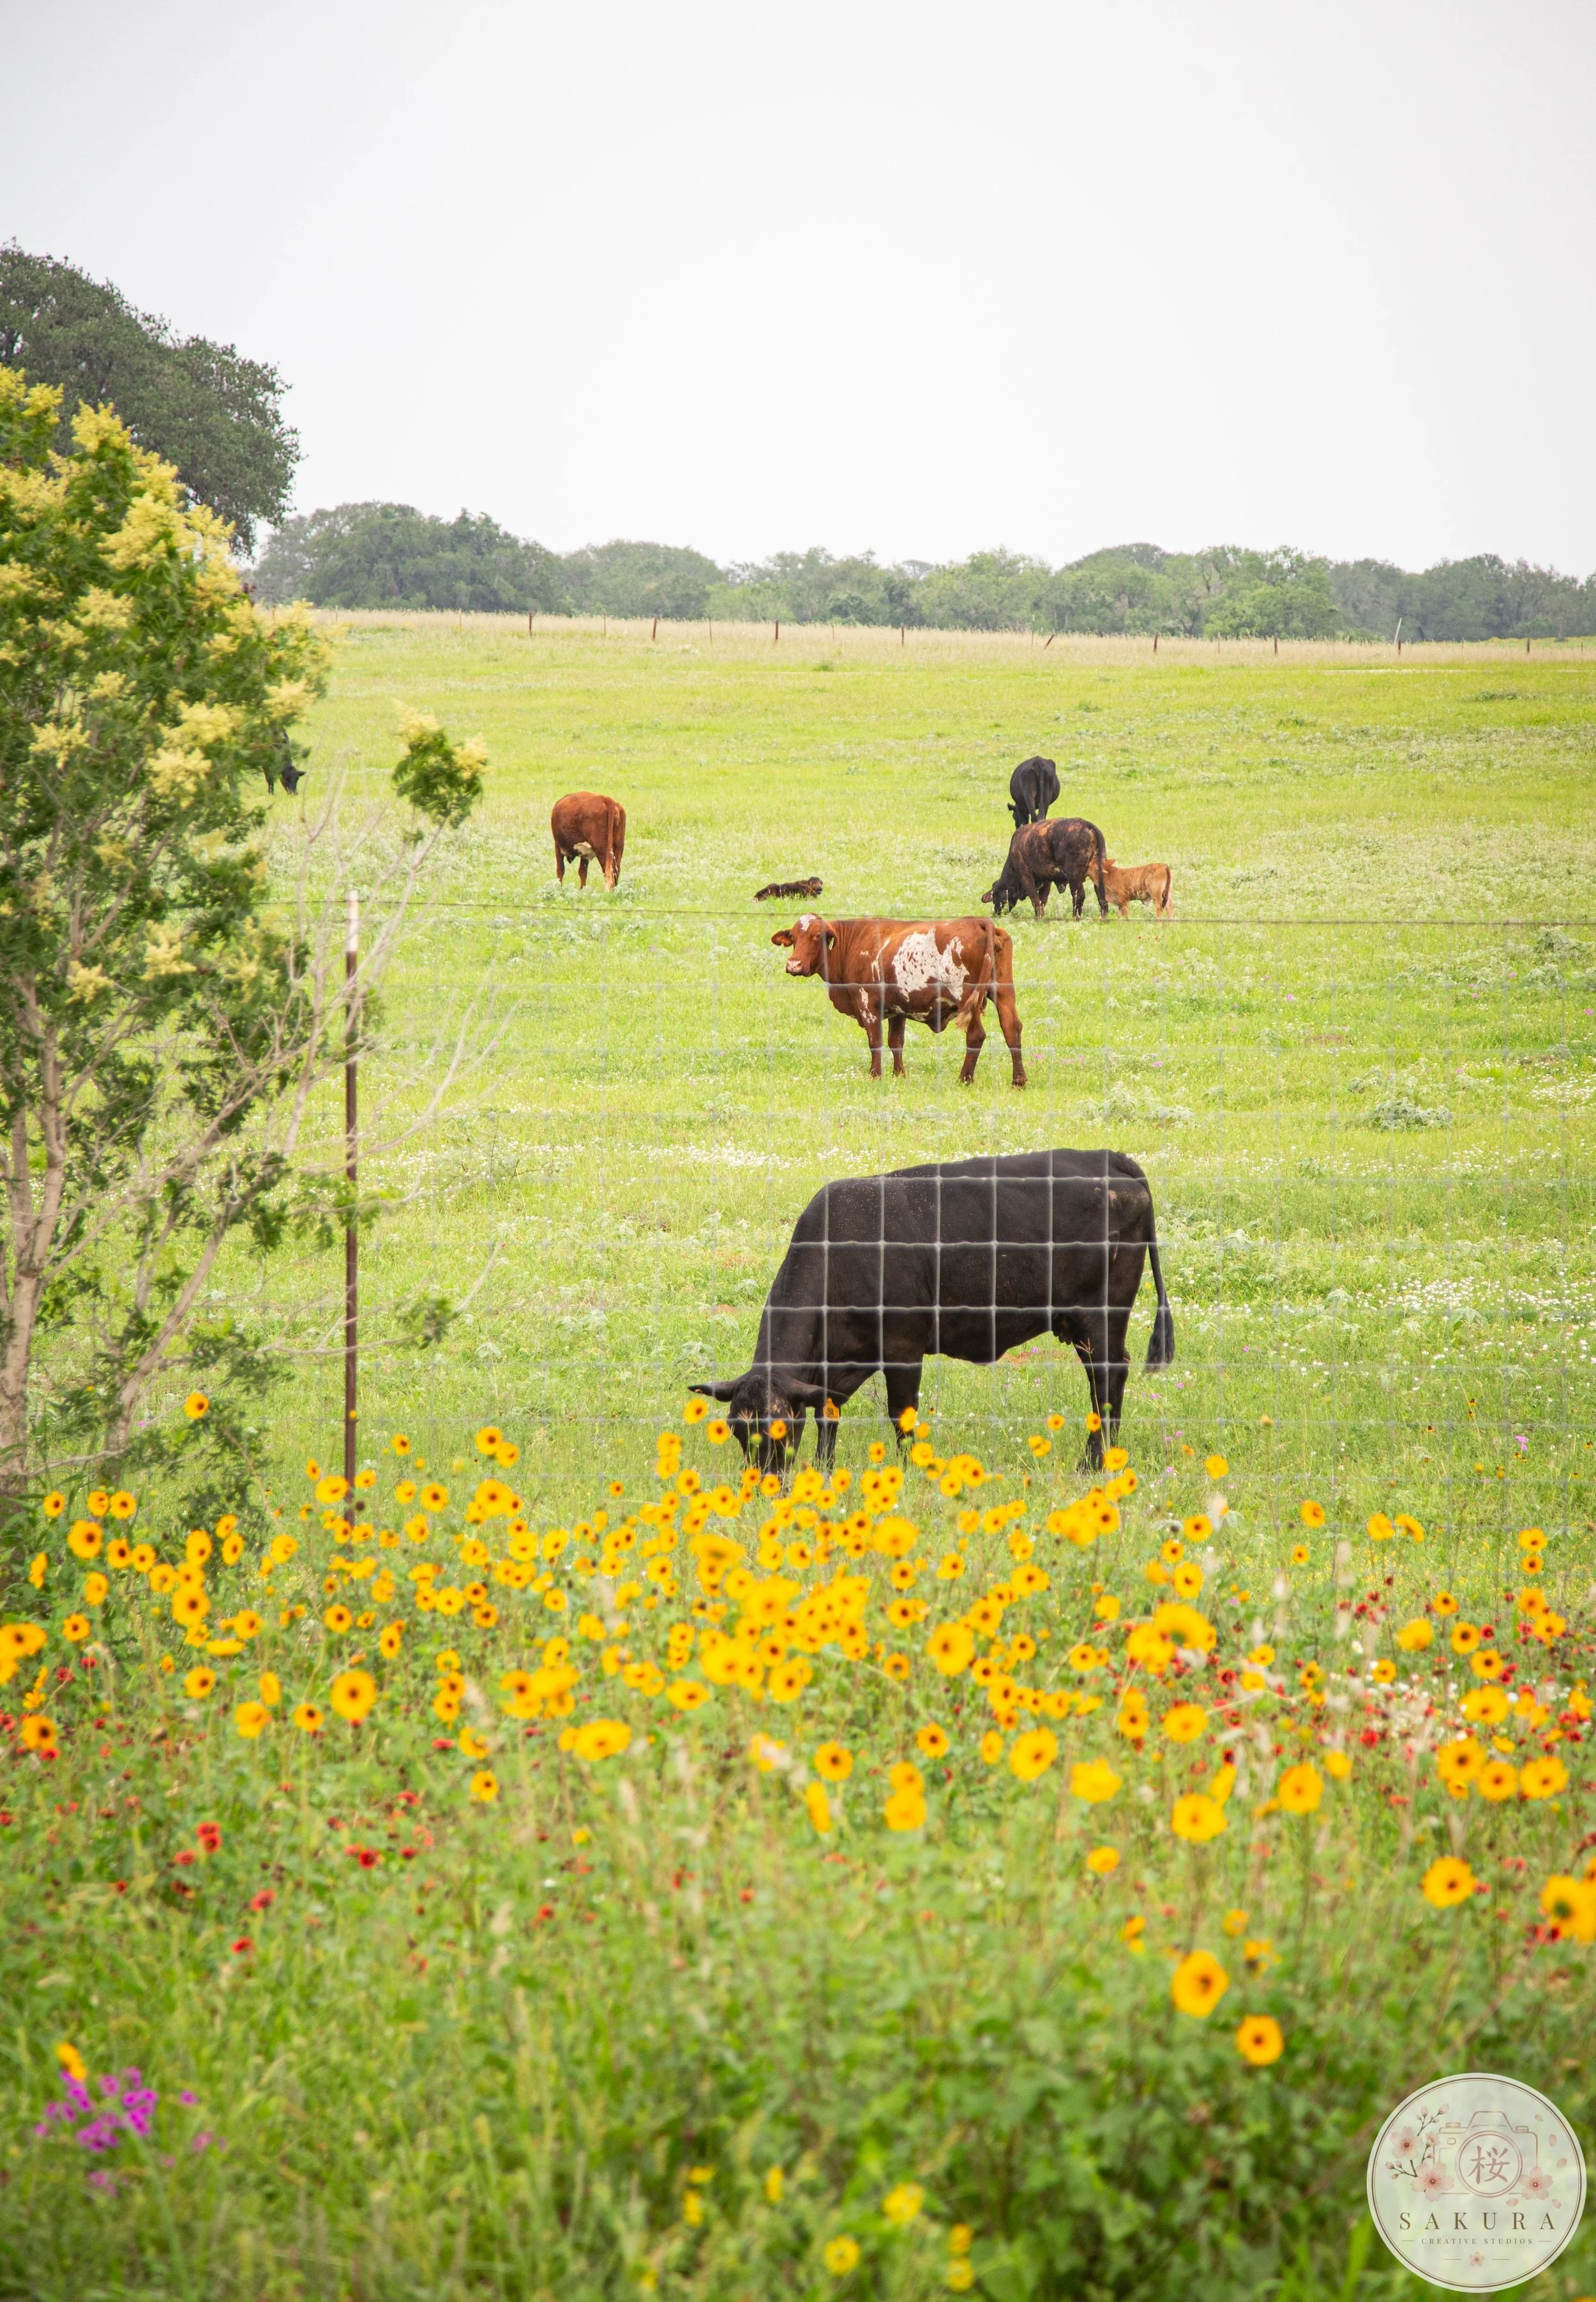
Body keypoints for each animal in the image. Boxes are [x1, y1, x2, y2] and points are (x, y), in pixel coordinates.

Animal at [551, 792, 626, 888]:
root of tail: (607, 800)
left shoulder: (558, 847)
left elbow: (560, 870)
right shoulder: (585, 854)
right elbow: (583, 872)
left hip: (602, 850)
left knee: (608, 872)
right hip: (618, 847)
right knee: (616, 871)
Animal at [692, 1148, 1174, 1473]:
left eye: (779, 1428)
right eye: (737, 1429)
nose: (764, 1484)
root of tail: (1106, 1158)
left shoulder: (903, 1348)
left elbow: (901, 1417)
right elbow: (828, 1415)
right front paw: (825, 1473)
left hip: (1100, 1317)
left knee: (1107, 1377)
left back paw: (1094, 1462)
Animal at [772, 913, 1025, 1087]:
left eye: (816, 936)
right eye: (793, 937)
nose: (794, 965)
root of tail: (978, 921)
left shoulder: (867, 1004)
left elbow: (876, 1042)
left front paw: (875, 1075)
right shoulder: (897, 1009)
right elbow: (896, 1042)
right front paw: (899, 1074)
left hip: (965, 997)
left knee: (976, 1036)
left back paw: (964, 1079)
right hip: (1003, 993)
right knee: (1011, 1028)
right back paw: (1019, 1080)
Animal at [984, 817, 1109, 919]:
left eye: (995, 895)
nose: (996, 913)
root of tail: (1086, 824)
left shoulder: (1026, 877)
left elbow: (1035, 899)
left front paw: (1038, 917)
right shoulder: (1047, 880)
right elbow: (1043, 900)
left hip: (1074, 877)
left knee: (1079, 896)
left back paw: (1075, 917)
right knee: (1101, 893)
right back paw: (1104, 916)